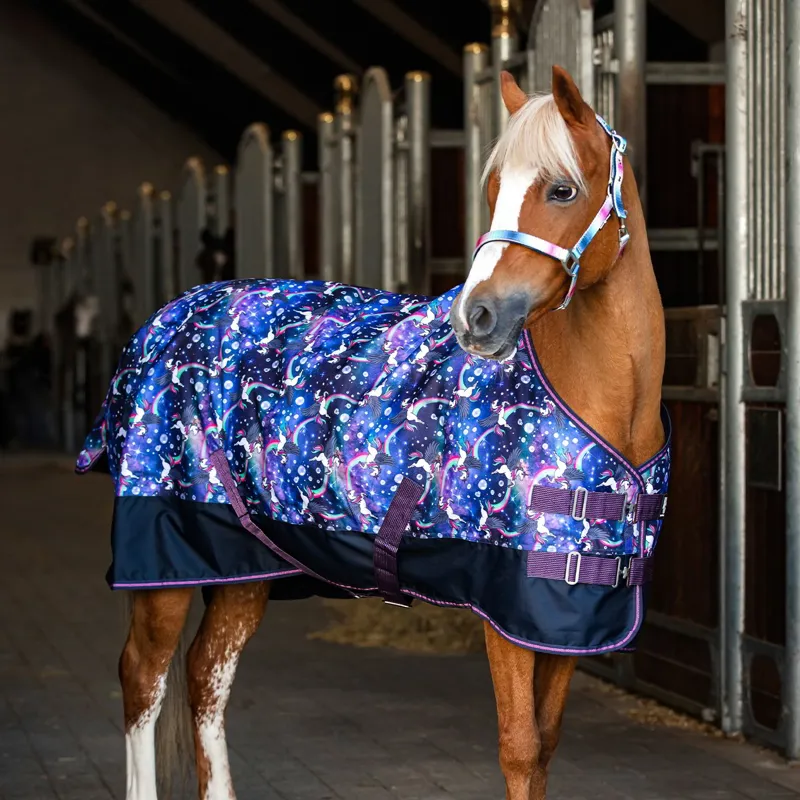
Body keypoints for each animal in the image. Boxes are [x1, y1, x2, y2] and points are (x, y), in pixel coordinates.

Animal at [75, 66, 668, 800]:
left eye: (562, 190)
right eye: (494, 191)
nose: (476, 316)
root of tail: (167, 317)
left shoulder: (565, 616)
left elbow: (547, 744)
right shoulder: (507, 610)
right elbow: (521, 747)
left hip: (243, 561)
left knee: (205, 675)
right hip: (164, 556)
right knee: (143, 678)